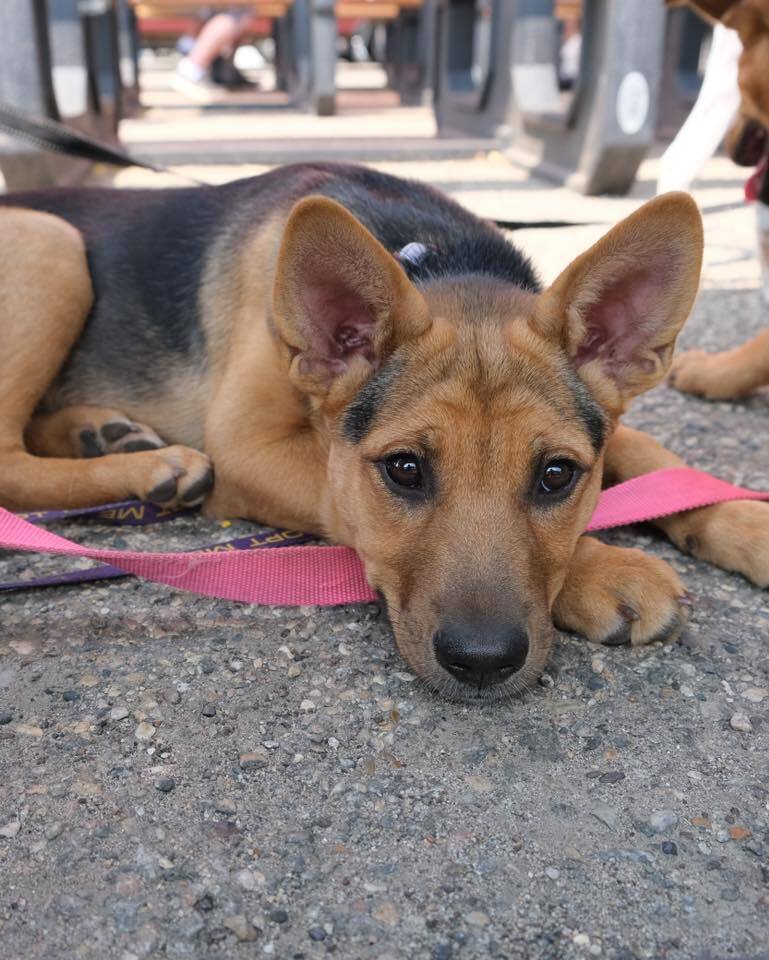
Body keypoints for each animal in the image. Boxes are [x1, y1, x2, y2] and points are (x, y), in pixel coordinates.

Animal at [0, 165, 764, 700]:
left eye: (556, 475)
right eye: (403, 469)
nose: (481, 665)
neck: (438, 257)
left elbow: (656, 458)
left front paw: (741, 521)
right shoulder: (248, 448)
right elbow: (346, 504)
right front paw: (603, 567)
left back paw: (105, 433)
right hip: (51, 242)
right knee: (9, 460)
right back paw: (149, 467)